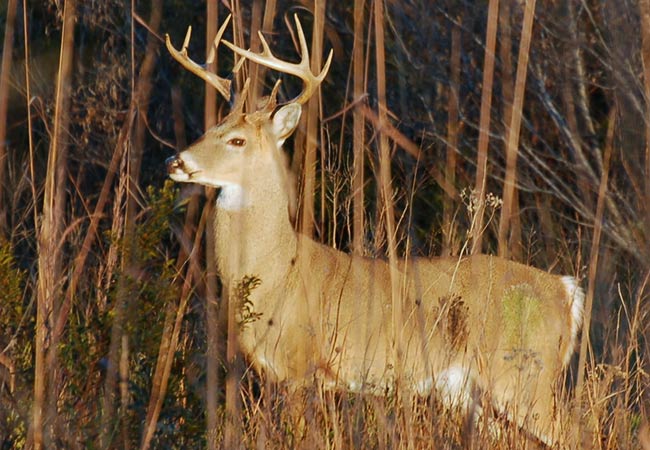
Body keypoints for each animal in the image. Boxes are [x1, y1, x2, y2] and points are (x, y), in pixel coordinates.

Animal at [165, 14, 584, 446]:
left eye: (237, 140)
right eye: (208, 129)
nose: (176, 161)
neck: (277, 271)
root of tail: (566, 291)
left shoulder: (299, 366)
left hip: (525, 373)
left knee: (576, 431)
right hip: (472, 391)